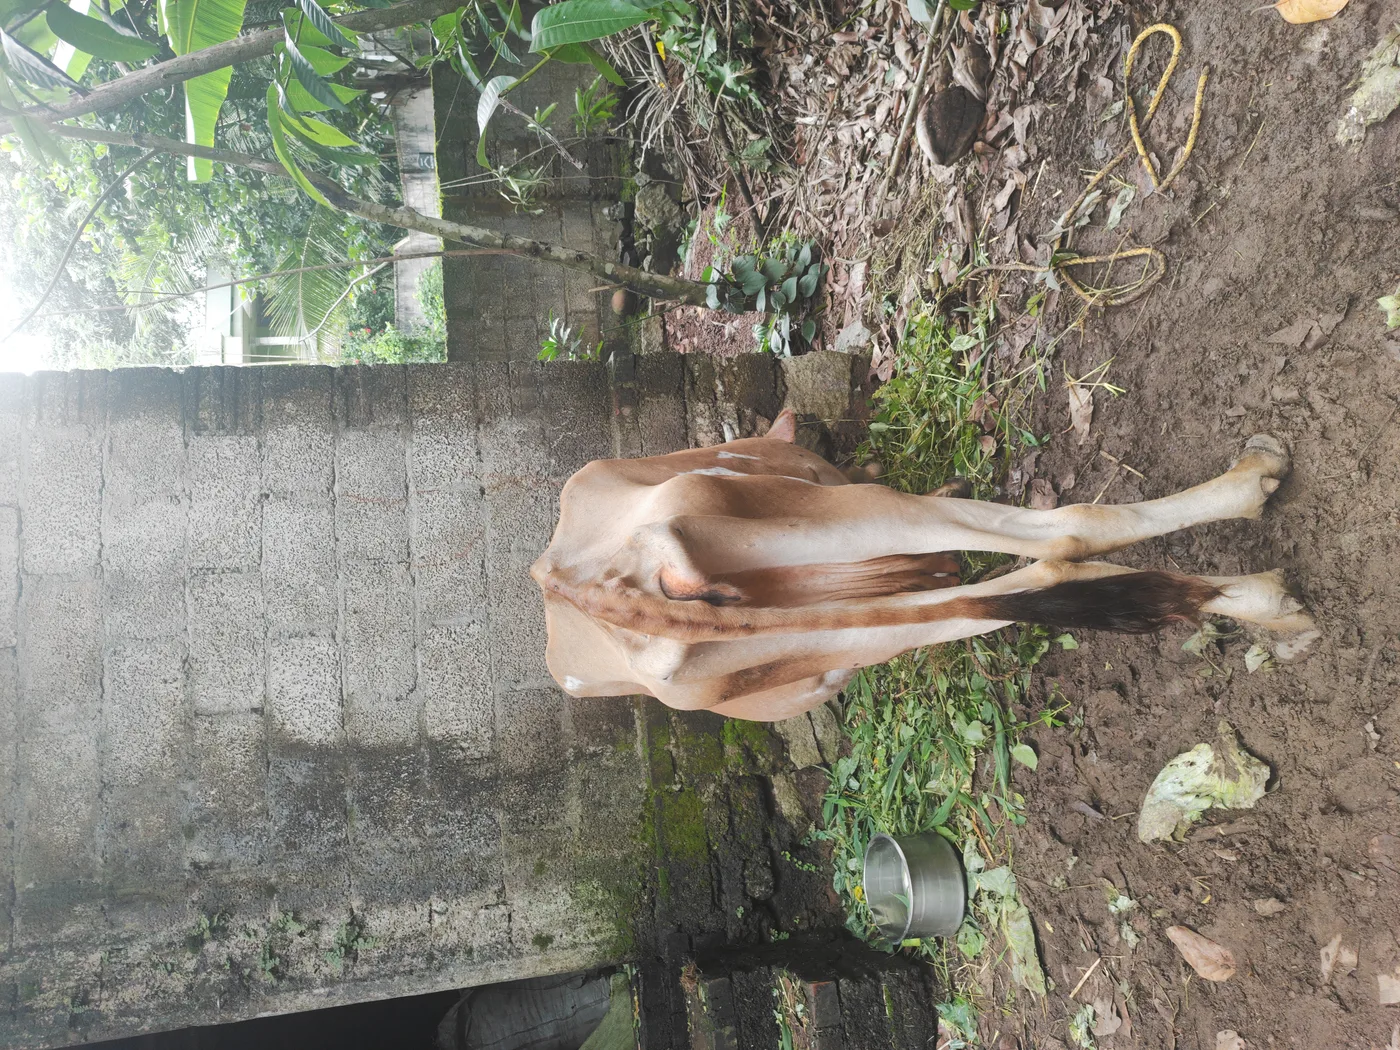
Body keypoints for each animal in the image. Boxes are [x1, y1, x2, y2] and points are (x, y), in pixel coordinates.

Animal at [530, 410, 1319, 721]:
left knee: (1020, 581)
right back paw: (1257, 501)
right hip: (852, 515)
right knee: (1063, 539)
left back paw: (1264, 603)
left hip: (830, 637)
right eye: (818, 457)